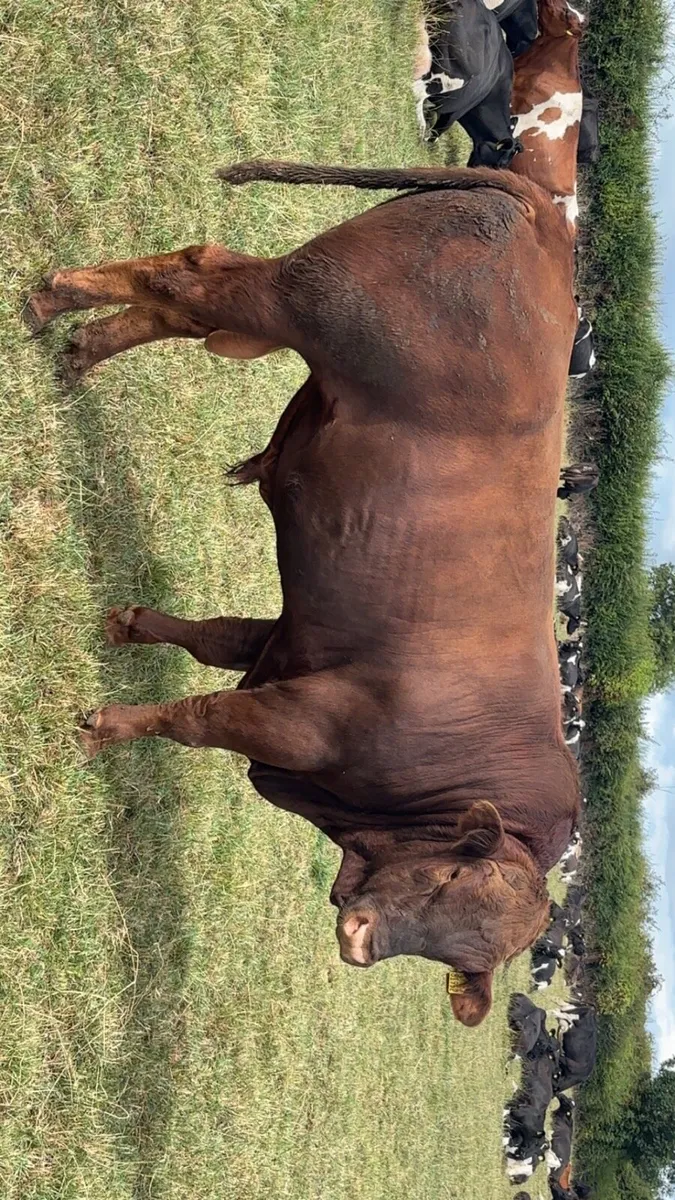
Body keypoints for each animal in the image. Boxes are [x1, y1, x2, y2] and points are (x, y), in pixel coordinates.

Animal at [23, 160, 580, 1027]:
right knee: (196, 277)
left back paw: (79, 343)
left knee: (181, 300)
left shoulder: (288, 640)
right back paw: (54, 301)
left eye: (460, 955)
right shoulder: (300, 723)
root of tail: (543, 216)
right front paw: (102, 729)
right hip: (298, 304)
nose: (358, 941)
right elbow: (197, 718)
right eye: (452, 878)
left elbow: (213, 637)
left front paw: (125, 625)